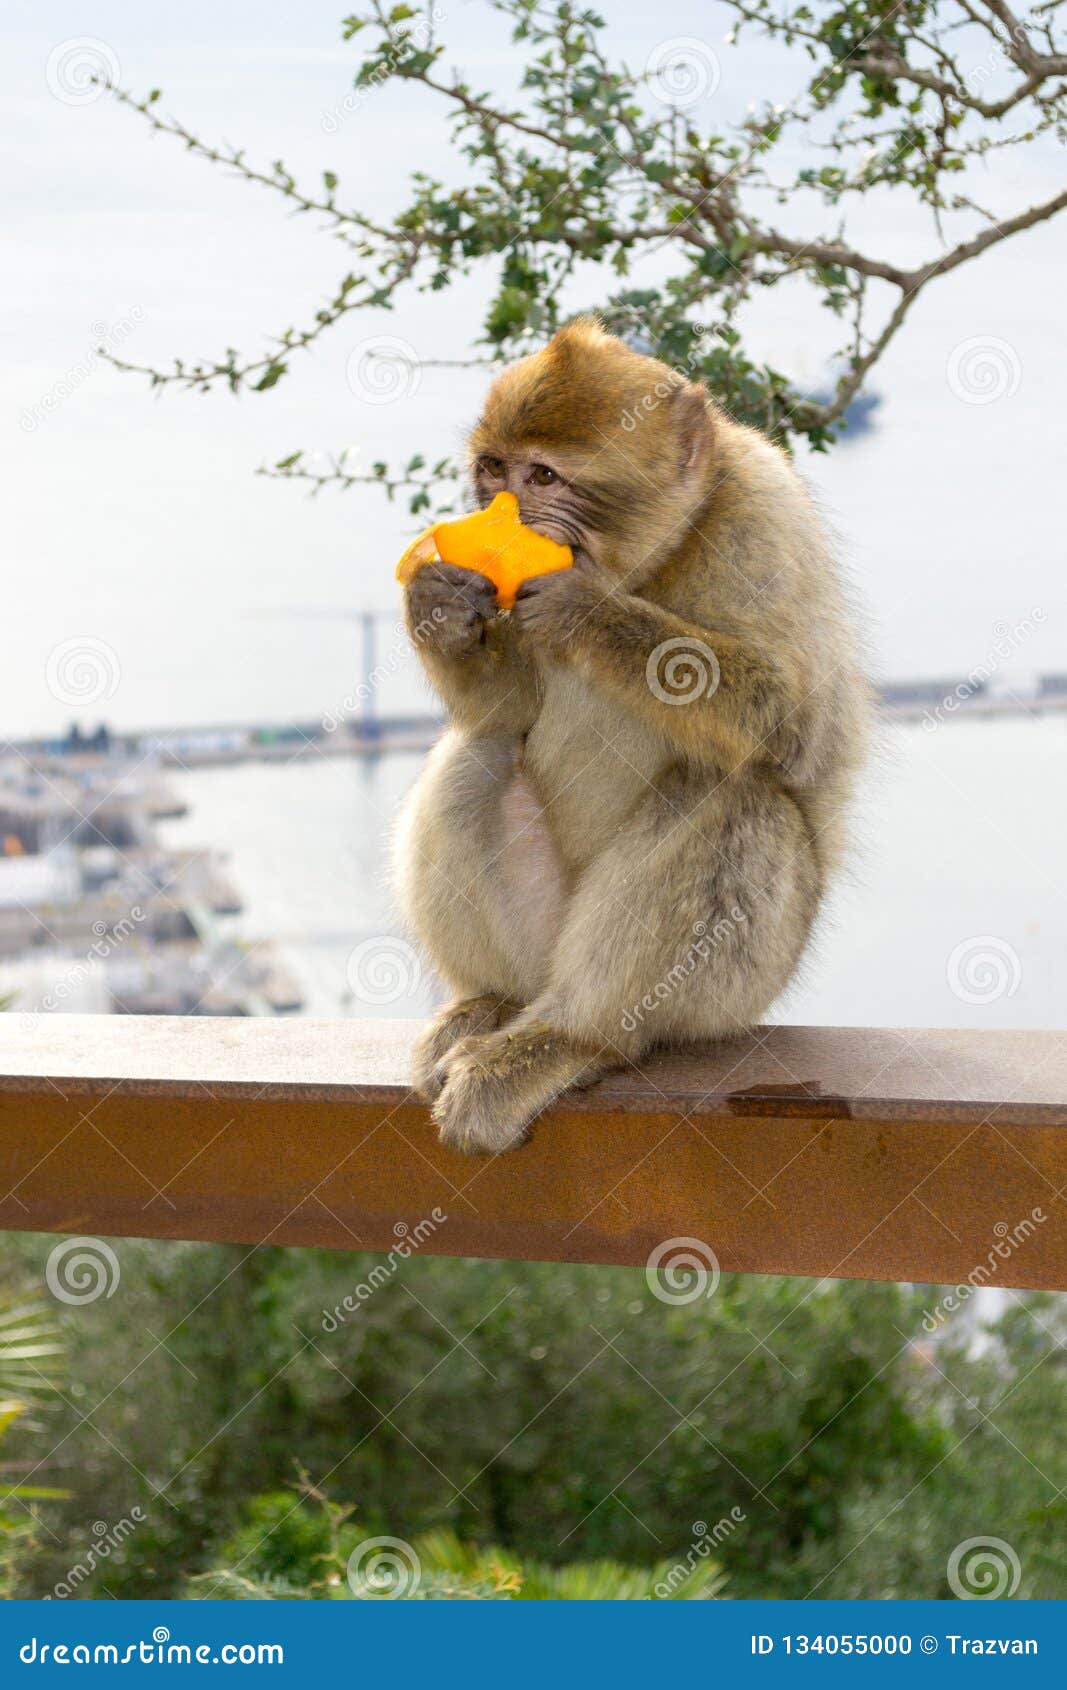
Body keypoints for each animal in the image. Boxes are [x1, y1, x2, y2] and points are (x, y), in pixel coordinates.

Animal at [397, 319, 872, 1149]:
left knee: (728, 796)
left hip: (736, 988)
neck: (647, 564)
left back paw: (569, 1040)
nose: (505, 512)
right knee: (477, 755)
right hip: (541, 936)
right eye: (493, 470)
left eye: (544, 476)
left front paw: (586, 613)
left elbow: (796, 727)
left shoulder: (764, 521)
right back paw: (489, 1001)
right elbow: (508, 712)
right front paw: (439, 603)